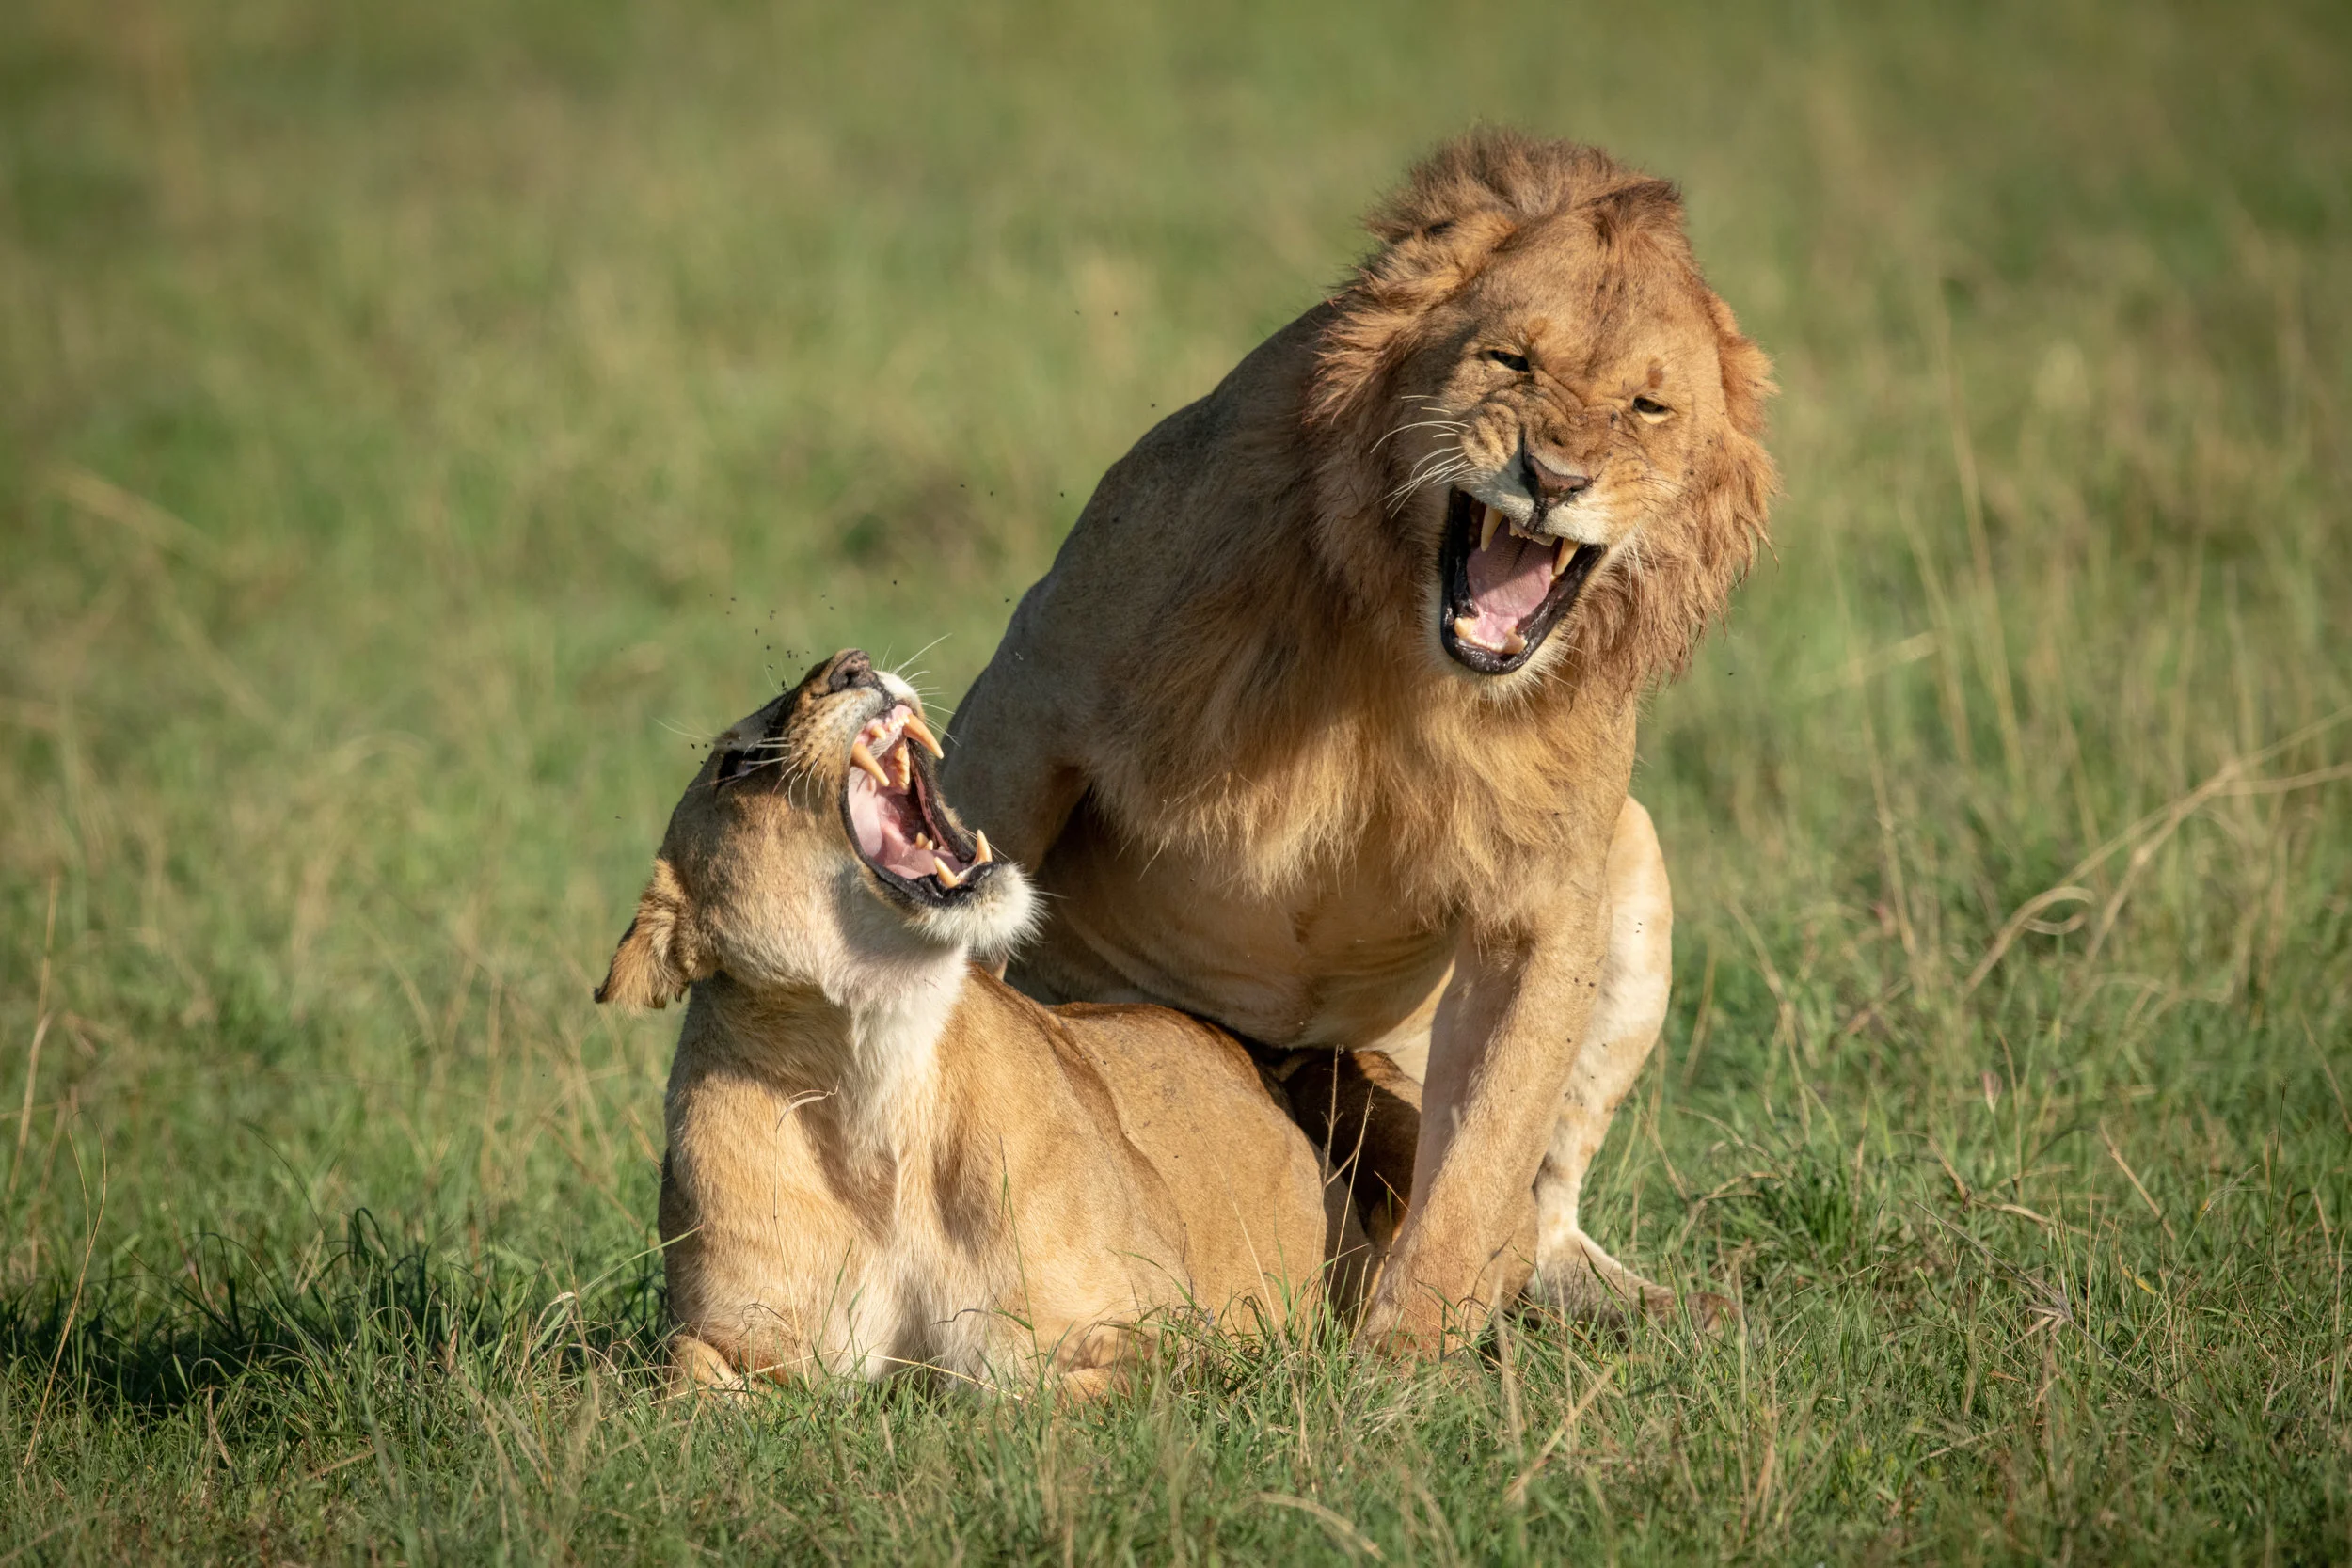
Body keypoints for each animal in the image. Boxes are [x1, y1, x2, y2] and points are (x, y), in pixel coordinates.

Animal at [595, 649, 1381, 1395]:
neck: (872, 1069)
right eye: (736, 763)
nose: (851, 664)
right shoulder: (730, 1340)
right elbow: (686, 1372)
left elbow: (1010, 1398)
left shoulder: (1177, 1330)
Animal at [944, 131, 1775, 1352]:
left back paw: (1656, 1306)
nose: (1554, 478)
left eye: (1646, 406)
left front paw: (1407, 1356)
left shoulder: (1543, 897)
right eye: (1508, 359)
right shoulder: (1030, 698)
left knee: (1543, 1205)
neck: (1409, 663)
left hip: (1634, 861)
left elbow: (1488, 1151)